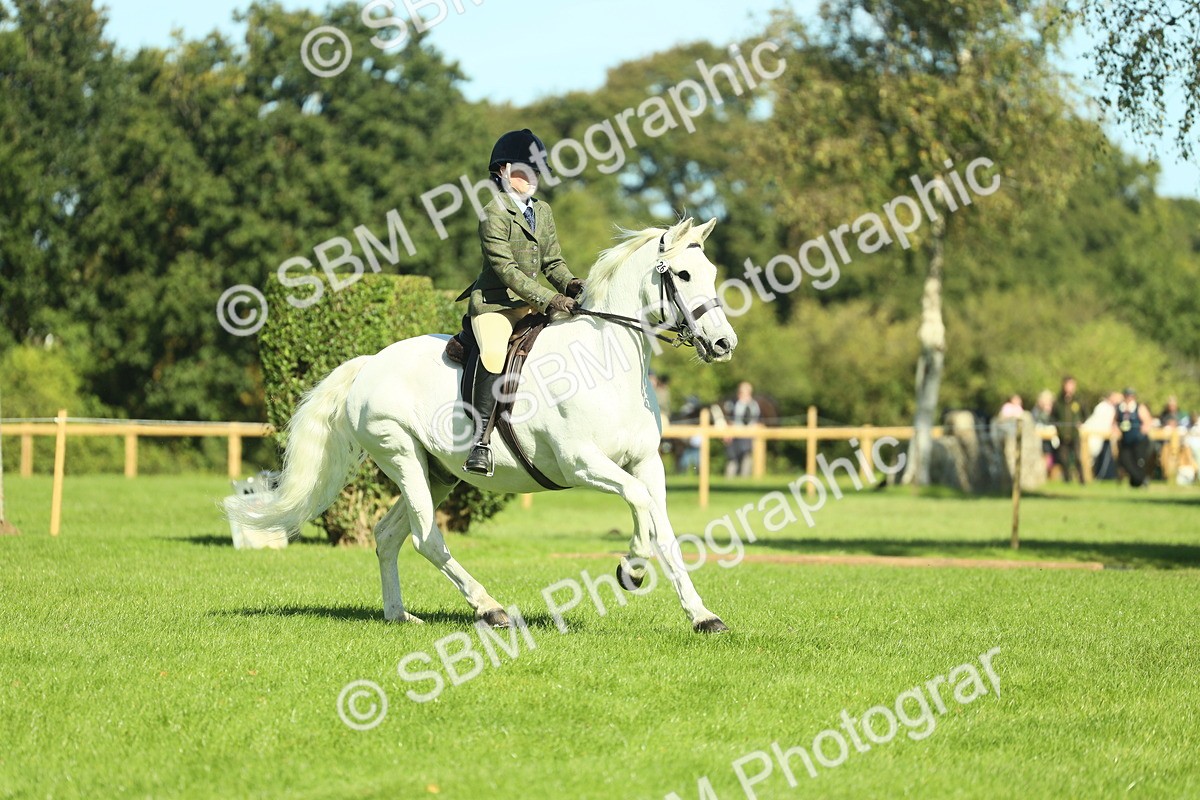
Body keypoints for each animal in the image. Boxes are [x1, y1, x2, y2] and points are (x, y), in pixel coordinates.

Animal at [227, 217, 739, 633]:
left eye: (712, 273)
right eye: (684, 275)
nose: (723, 344)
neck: (606, 361)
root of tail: (369, 363)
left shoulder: (647, 462)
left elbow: (664, 532)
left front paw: (702, 616)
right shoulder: (581, 463)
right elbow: (639, 505)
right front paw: (630, 570)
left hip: (437, 472)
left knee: (388, 535)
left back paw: (398, 615)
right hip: (402, 453)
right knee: (426, 538)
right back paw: (490, 609)